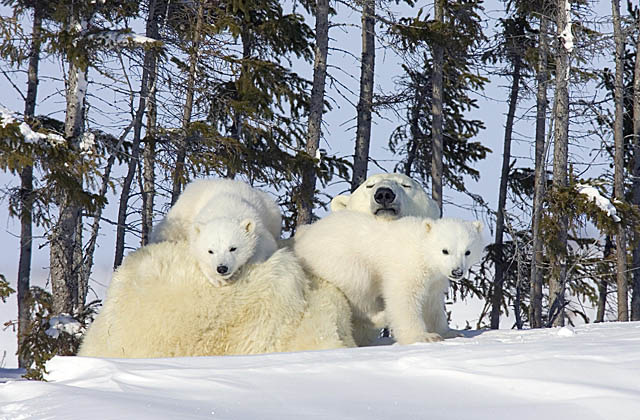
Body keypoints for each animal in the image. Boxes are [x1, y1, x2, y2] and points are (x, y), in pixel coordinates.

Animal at [292, 212, 482, 346]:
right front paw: (423, 337)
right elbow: (403, 298)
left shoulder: (435, 280)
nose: (457, 271)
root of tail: (302, 239)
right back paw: (380, 315)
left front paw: (450, 332)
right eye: (445, 250)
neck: (421, 249)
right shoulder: (407, 266)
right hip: (342, 263)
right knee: (360, 291)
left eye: (468, 251)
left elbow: (432, 304)